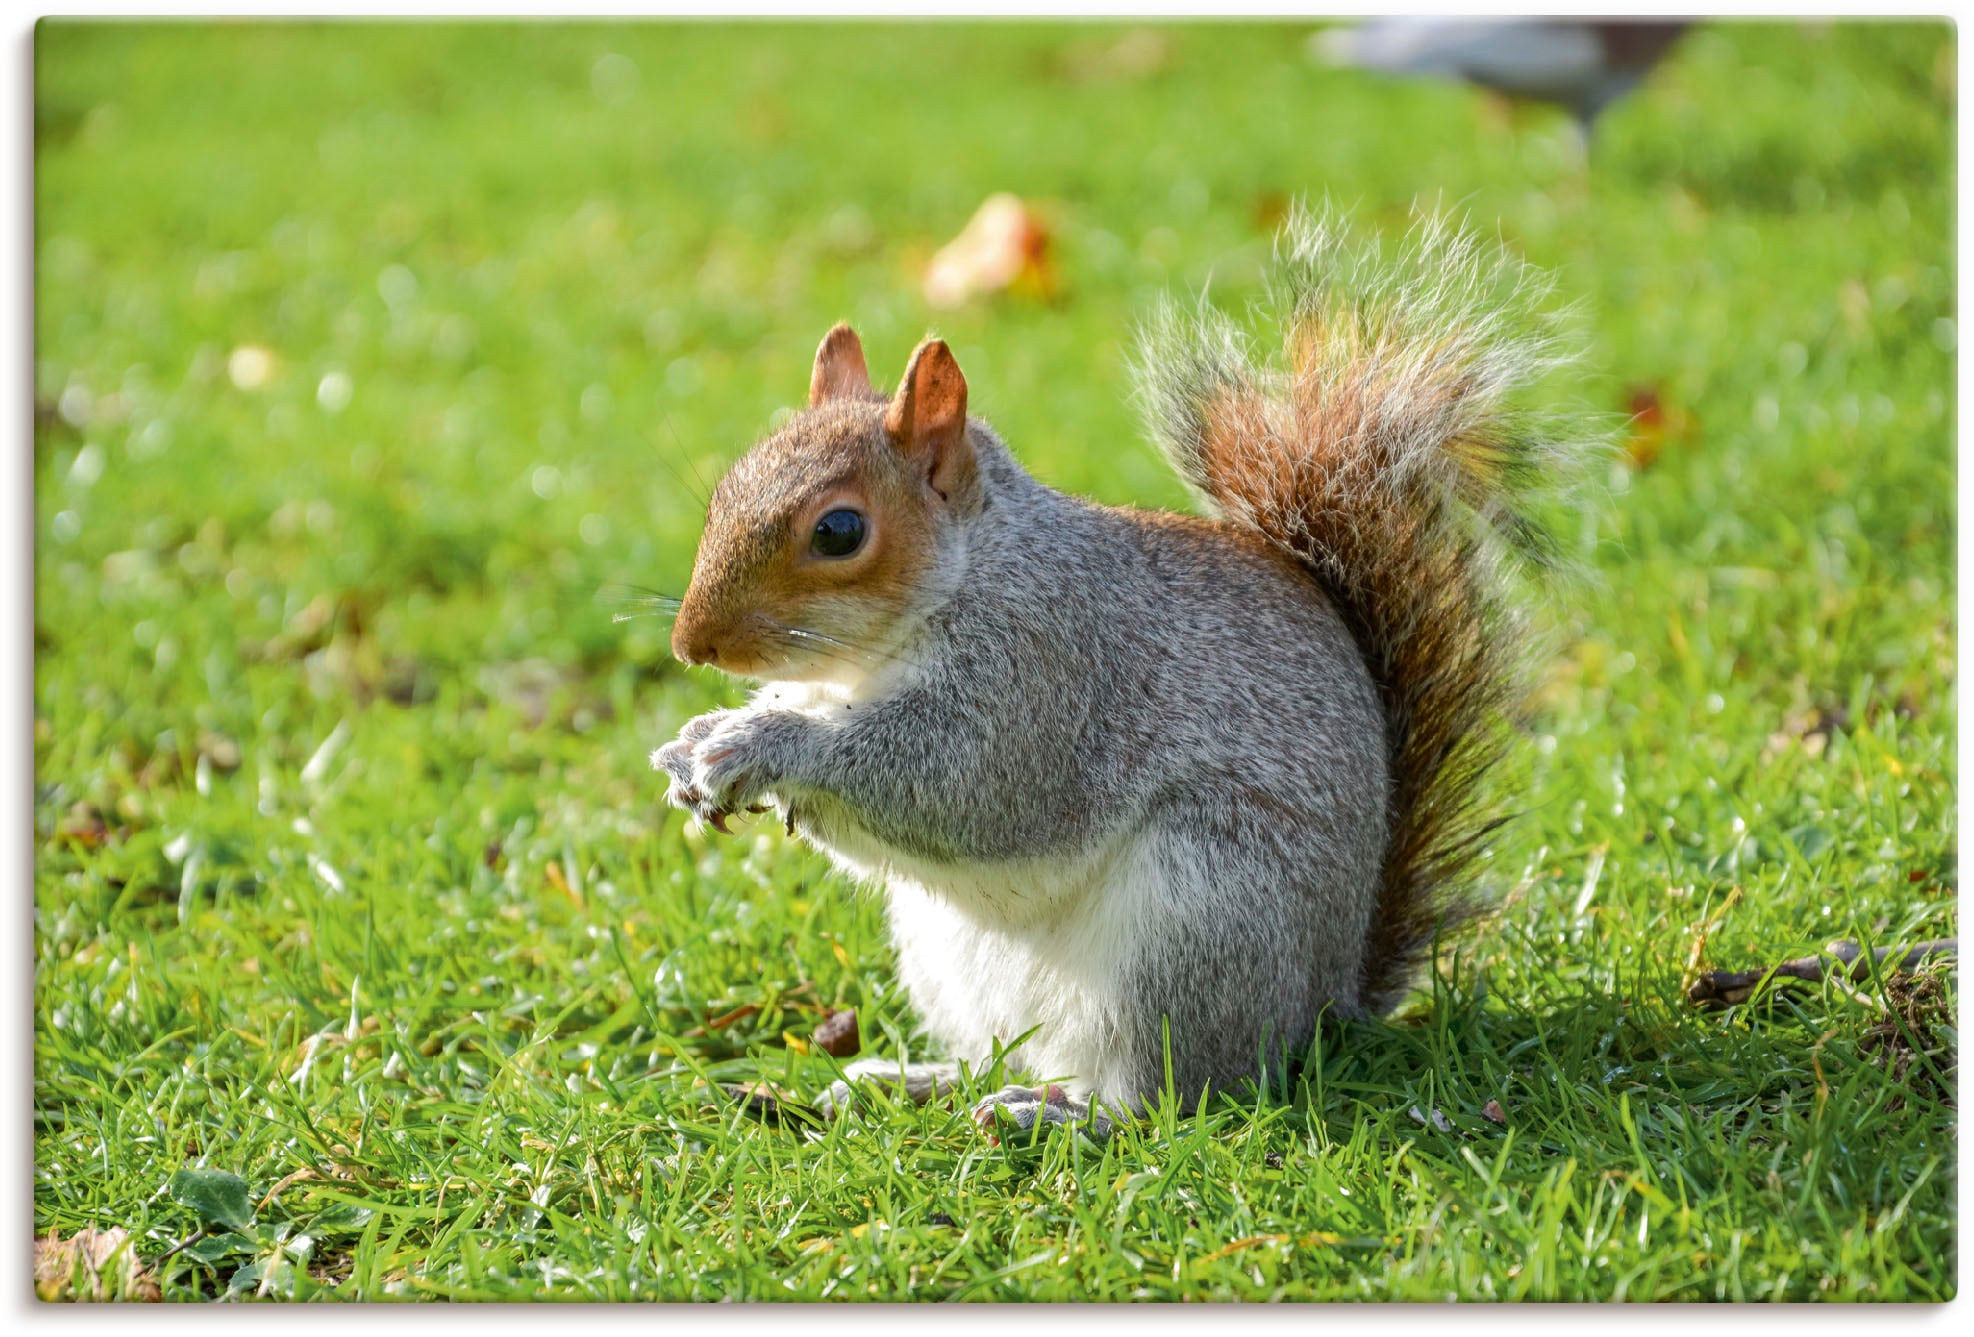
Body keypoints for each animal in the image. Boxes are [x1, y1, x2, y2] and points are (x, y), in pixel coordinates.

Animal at [655, 208, 1594, 1137]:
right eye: (725, 490)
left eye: (840, 530)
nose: (693, 645)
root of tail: (1326, 1007)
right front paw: (695, 743)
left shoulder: (1048, 668)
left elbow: (958, 784)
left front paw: (760, 742)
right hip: (950, 960)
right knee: (1008, 1055)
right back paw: (918, 1079)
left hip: (1194, 923)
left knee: (1173, 1100)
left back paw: (1064, 1118)